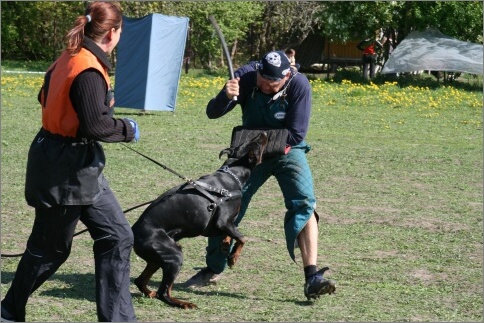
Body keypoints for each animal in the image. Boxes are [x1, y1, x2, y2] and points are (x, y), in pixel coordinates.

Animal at [132, 133, 268, 310]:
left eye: (251, 141)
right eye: (257, 144)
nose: (264, 134)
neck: (232, 174)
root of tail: (133, 234)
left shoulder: (222, 224)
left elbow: (232, 233)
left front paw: (226, 244)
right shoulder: (222, 222)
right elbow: (242, 237)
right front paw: (233, 258)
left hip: (157, 258)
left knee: (140, 280)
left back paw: (150, 293)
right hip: (174, 255)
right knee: (164, 292)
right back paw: (183, 303)